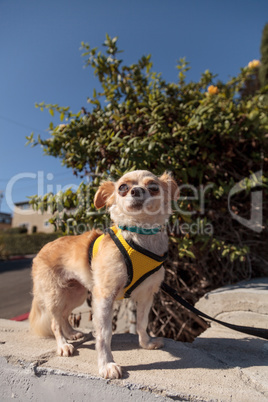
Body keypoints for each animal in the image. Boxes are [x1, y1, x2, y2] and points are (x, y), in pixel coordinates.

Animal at [29, 170, 178, 380]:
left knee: (64, 315)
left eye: (153, 187)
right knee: (54, 322)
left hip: (76, 293)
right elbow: (104, 334)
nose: (136, 190)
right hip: (56, 295)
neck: (139, 237)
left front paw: (146, 343)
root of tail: (41, 250)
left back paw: (71, 333)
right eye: (123, 187)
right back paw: (63, 344)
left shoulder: (146, 295)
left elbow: (142, 322)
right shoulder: (104, 297)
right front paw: (107, 364)